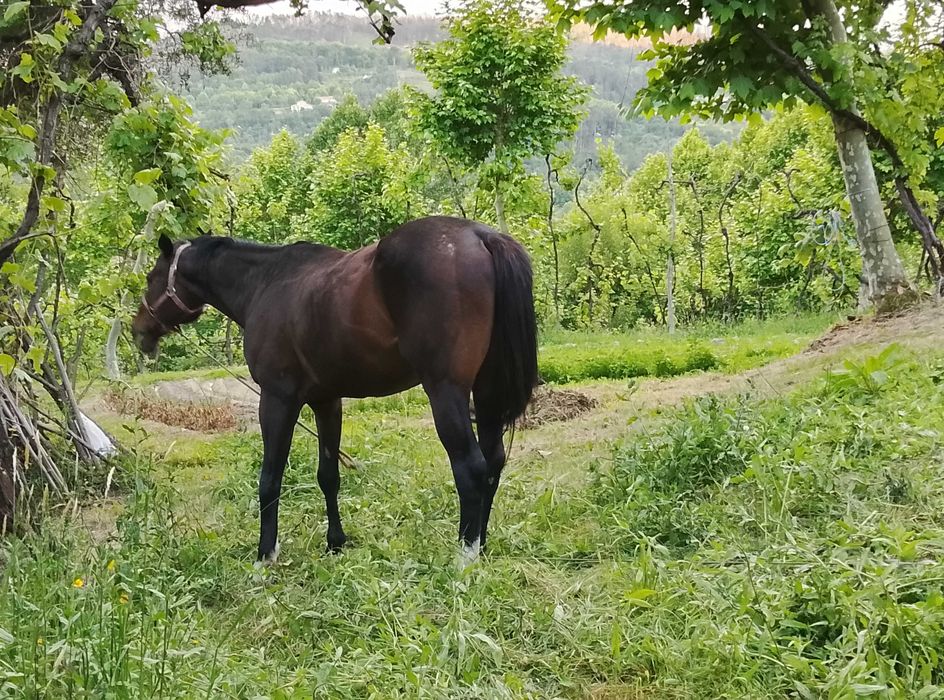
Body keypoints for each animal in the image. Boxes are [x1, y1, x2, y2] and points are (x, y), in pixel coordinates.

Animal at [131, 216, 538, 568]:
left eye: (152, 277)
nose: (139, 331)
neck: (266, 283)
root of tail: (480, 236)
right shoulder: (327, 401)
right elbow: (329, 475)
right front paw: (335, 543)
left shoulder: (277, 400)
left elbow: (269, 478)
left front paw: (266, 555)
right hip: (486, 393)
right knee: (493, 461)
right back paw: (481, 545)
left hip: (446, 392)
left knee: (471, 467)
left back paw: (465, 556)